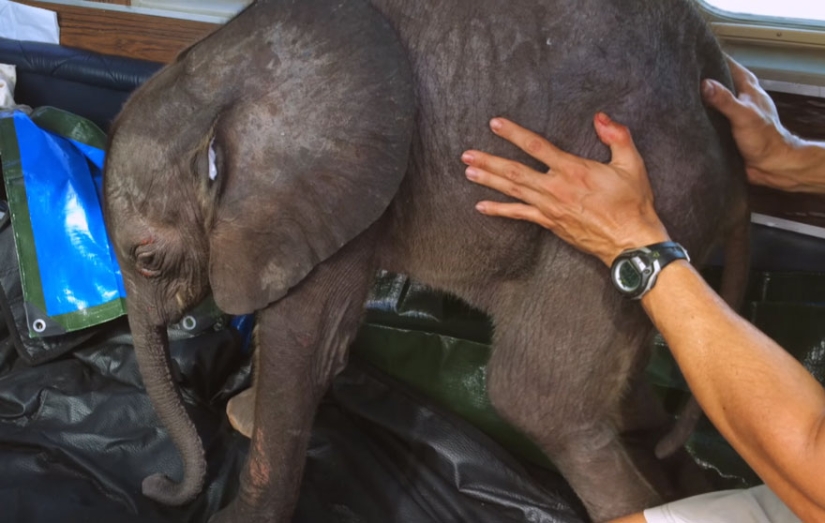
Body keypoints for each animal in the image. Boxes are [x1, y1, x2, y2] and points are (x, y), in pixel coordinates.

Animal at [103, 0, 749, 521]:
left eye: (148, 259)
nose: (156, 482)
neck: (224, 69)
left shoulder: (339, 186)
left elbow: (304, 346)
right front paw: (244, 415)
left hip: (629, 196)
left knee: (537, 403)